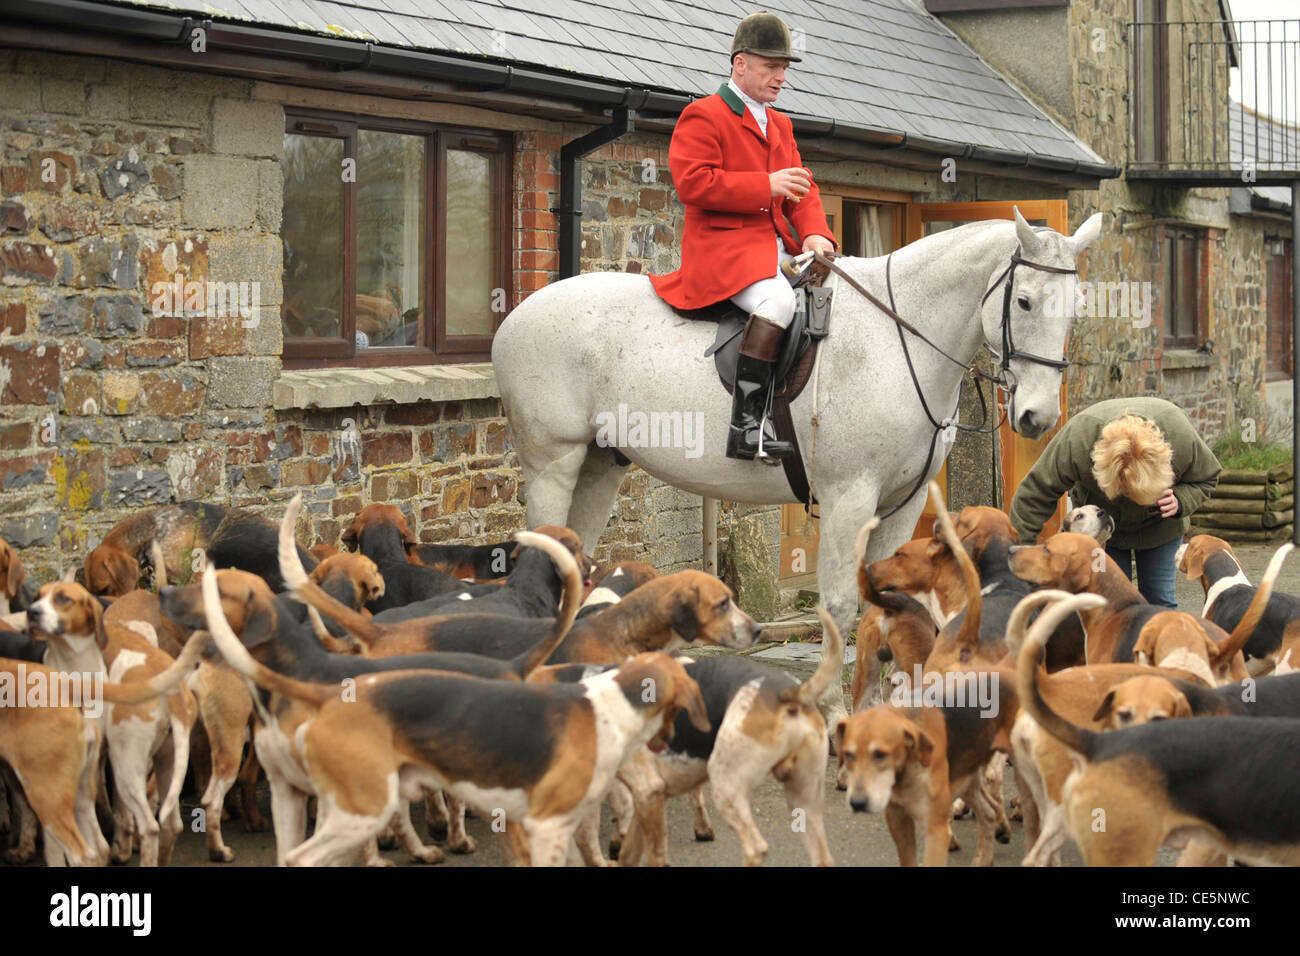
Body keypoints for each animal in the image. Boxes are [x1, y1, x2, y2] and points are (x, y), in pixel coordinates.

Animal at [491, 208, 1102, 723]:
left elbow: (890, 604)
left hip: (600, 465)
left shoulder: (902, 506)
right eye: (1024, 302)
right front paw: (830, 710)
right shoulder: (849, 498)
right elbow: (840, 604)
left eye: (1076, 308)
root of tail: (515, 315)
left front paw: (876, 711)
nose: (1038, 416)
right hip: (554, 463)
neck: (897, 336)